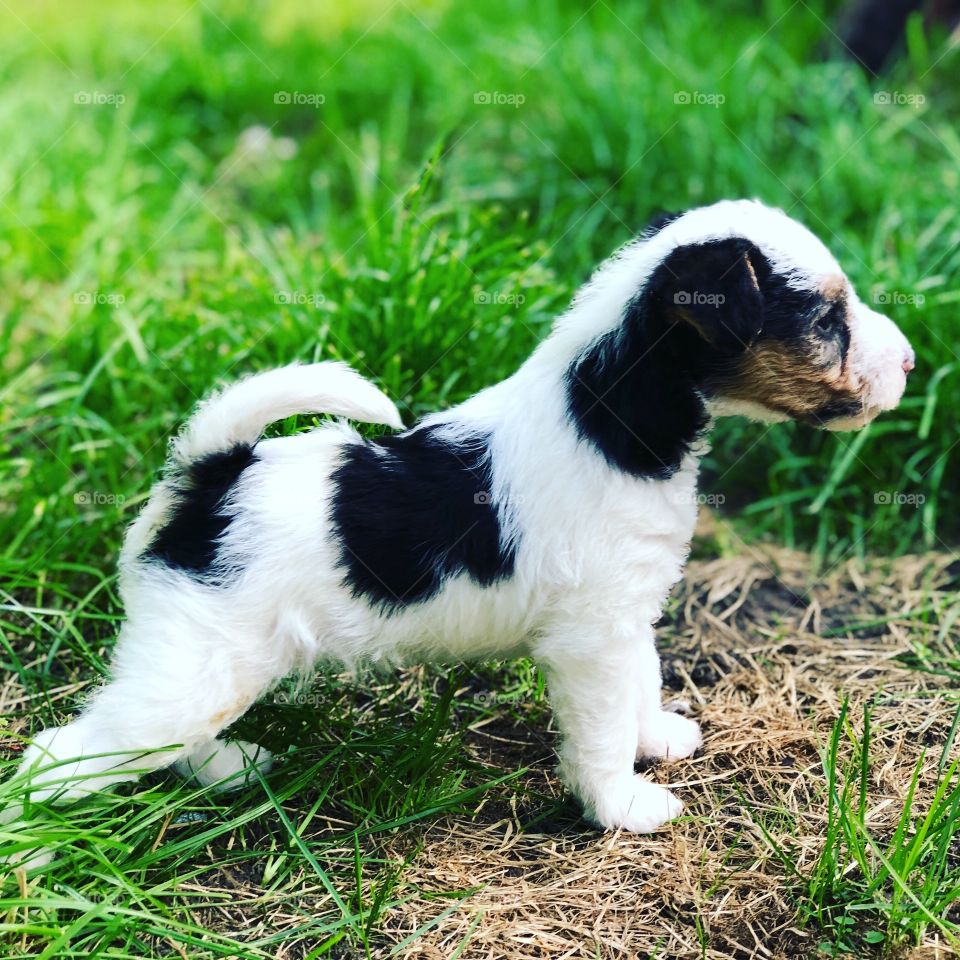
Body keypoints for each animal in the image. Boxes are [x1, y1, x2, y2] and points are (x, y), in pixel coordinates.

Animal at [16, 199, 916, 836]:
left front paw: (654, 737)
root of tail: (210, 473)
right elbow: (599, 729)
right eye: (825, 320)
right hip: (187, 668)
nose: (910, 361)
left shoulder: (625, 616)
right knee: (61, 756)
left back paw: (231, 763)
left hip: (209, 669)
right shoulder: (590, 639)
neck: (606, 412)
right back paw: (37, 839)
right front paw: (621, 805)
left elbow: (642, 678)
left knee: (185, 735)